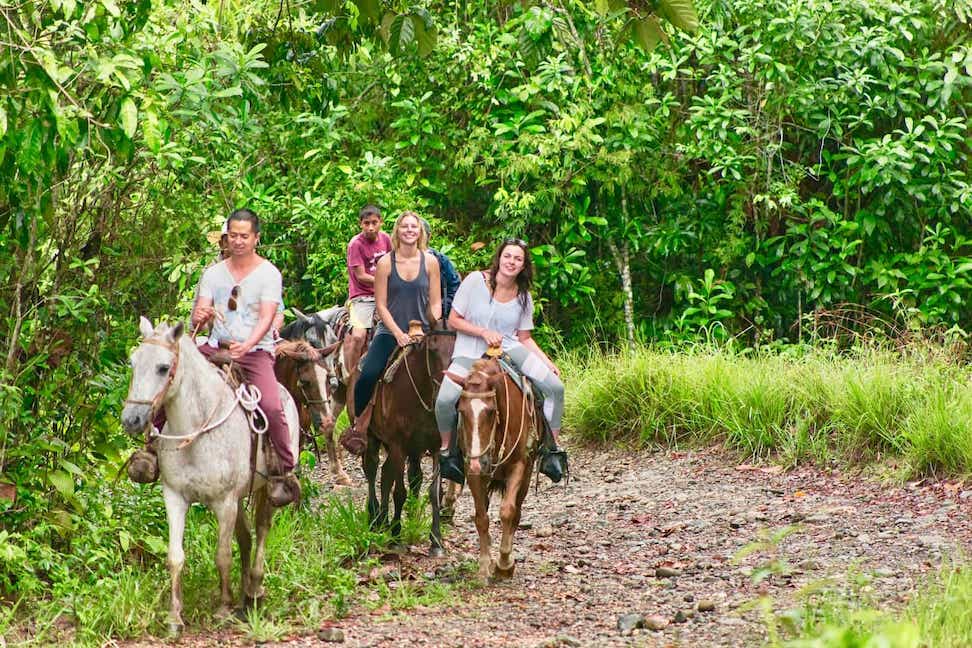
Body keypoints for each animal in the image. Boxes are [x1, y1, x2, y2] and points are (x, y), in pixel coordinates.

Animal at [120, 316, 300, 636]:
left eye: (163, 367)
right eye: (133, 362)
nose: (131, 420)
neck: (196, 429)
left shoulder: (224, 502)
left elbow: (222, 555)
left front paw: (223, 608)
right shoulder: (175, 497)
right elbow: (175, 556)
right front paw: (175, 617)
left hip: (265, 490)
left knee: (262, 530)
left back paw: (254, 591)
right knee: (246, 537)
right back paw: (243, 595)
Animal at [364, 326, 456, 556]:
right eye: (432, 350)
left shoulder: (436, 446)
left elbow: (434, 493)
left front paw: (436, 541)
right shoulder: (398, 445)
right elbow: (399, 492)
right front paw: (396, 536)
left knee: (393, 475)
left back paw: (387, 518)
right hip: (372, 438)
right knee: (372, 470)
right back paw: (375, 517)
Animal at [460, 356, 544, 580]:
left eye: (490, 412)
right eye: (461, 411)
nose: (478, 462)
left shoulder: (518, 466)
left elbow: (508, 511)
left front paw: (504, 564)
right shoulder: (472, 470)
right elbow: (481, 518)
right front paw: (484, 566)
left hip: (527, 474)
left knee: (517, 512)